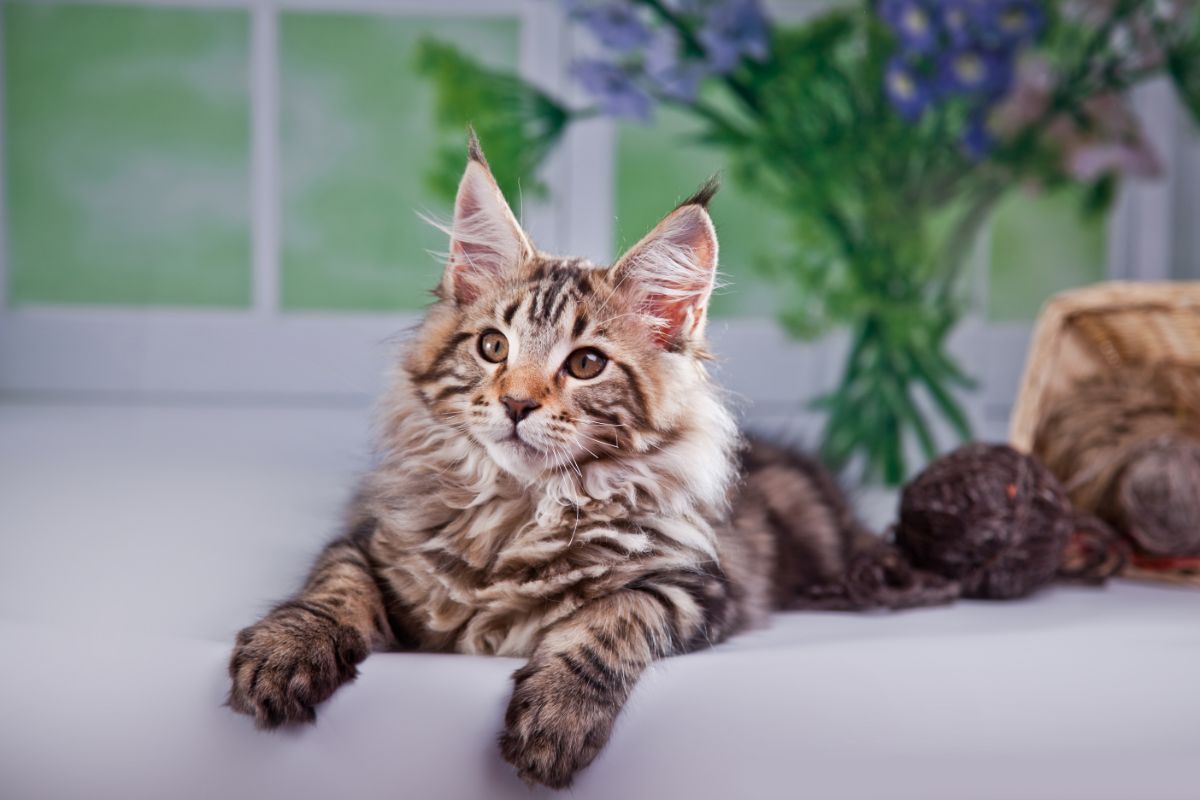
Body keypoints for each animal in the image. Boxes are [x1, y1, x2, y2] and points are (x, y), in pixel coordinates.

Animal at [226, 136, 907, 786]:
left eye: (585, 364)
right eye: (492, 346)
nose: (516, 403)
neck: (519, 507)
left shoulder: (700, 587)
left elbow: (613, 617)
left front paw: (555, 717)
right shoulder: (371, 539)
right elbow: (332, 589)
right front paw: (283, 654)